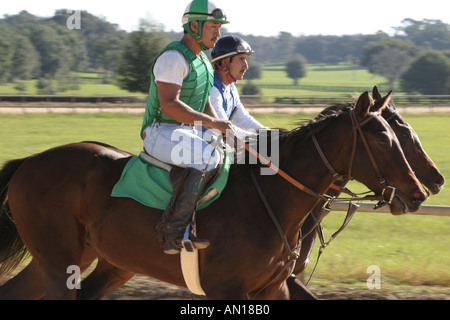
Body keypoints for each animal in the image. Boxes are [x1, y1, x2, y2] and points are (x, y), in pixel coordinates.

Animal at [0, 91, 426, 298]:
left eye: (397, 133)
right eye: (386, 139)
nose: (420, 191)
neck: (271, 200)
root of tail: (29, 161)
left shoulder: (272, 287)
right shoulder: (226, 287)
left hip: (91, 259)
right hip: (60, 261)